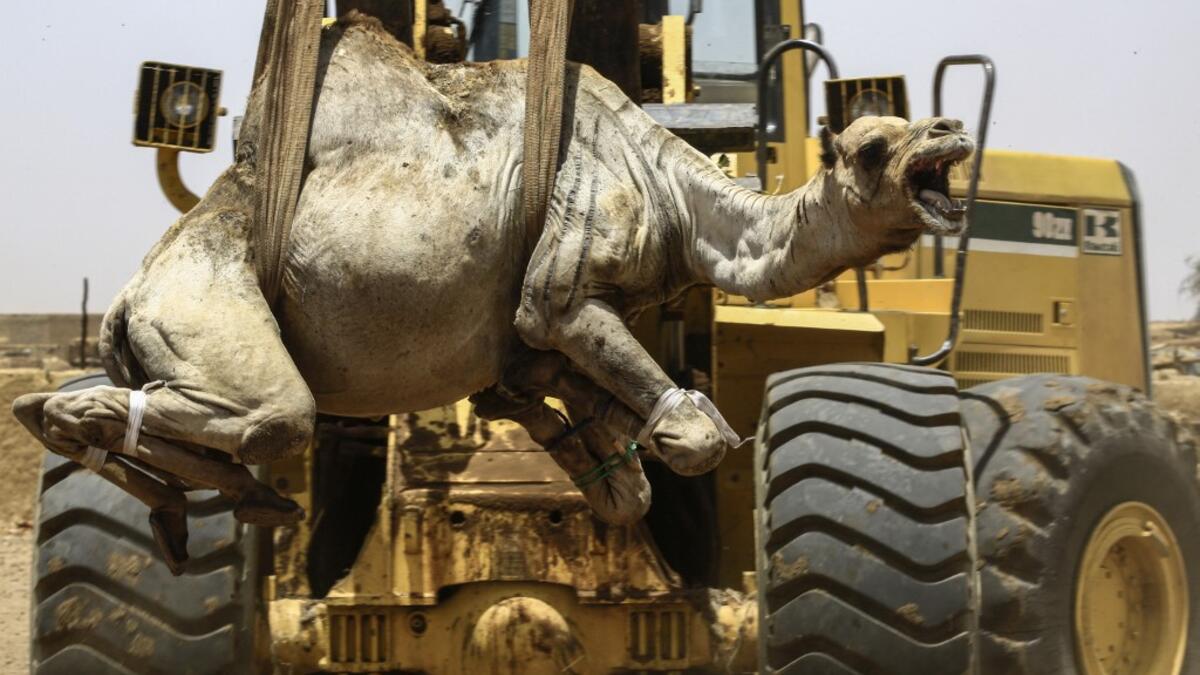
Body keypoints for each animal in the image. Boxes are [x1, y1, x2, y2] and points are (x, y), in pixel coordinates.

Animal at [12, 16, 973, 573]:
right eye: (873, 148)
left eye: (913, 126)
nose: (950, 127)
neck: (676, 196)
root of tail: (127, 298)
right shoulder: (562, 284)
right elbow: (689, 433)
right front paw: (666, 435)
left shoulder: (543, 332)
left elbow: (571, 411)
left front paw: (605, 465)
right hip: (200, 306)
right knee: (263, 414)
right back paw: (96, 436)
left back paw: (218, 499)